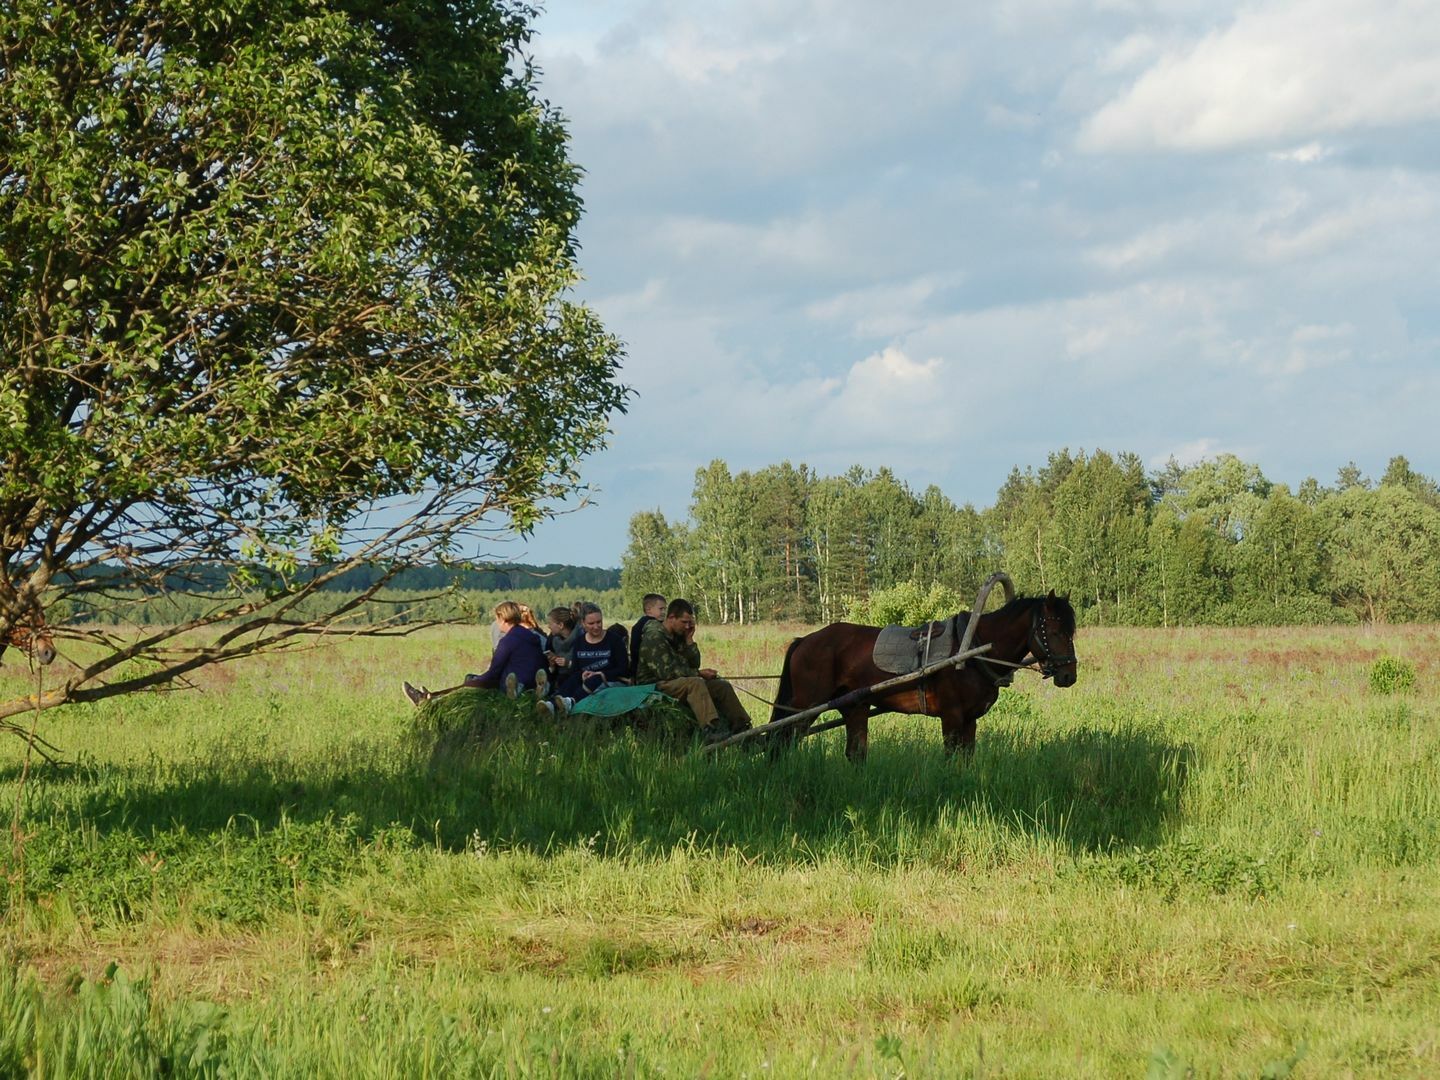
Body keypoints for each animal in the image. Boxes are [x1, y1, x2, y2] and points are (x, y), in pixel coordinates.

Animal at [771, 596, 1077, 766]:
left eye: (1071, 630)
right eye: (1054, 630)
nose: (1069, 676)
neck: (974, 648)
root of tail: (805, 640)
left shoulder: (970, 720)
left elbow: (966, 758)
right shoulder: (952, 716)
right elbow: (951, 756)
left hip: (854, 707)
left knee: (855, 753)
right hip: (804, 707)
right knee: (781, 742)